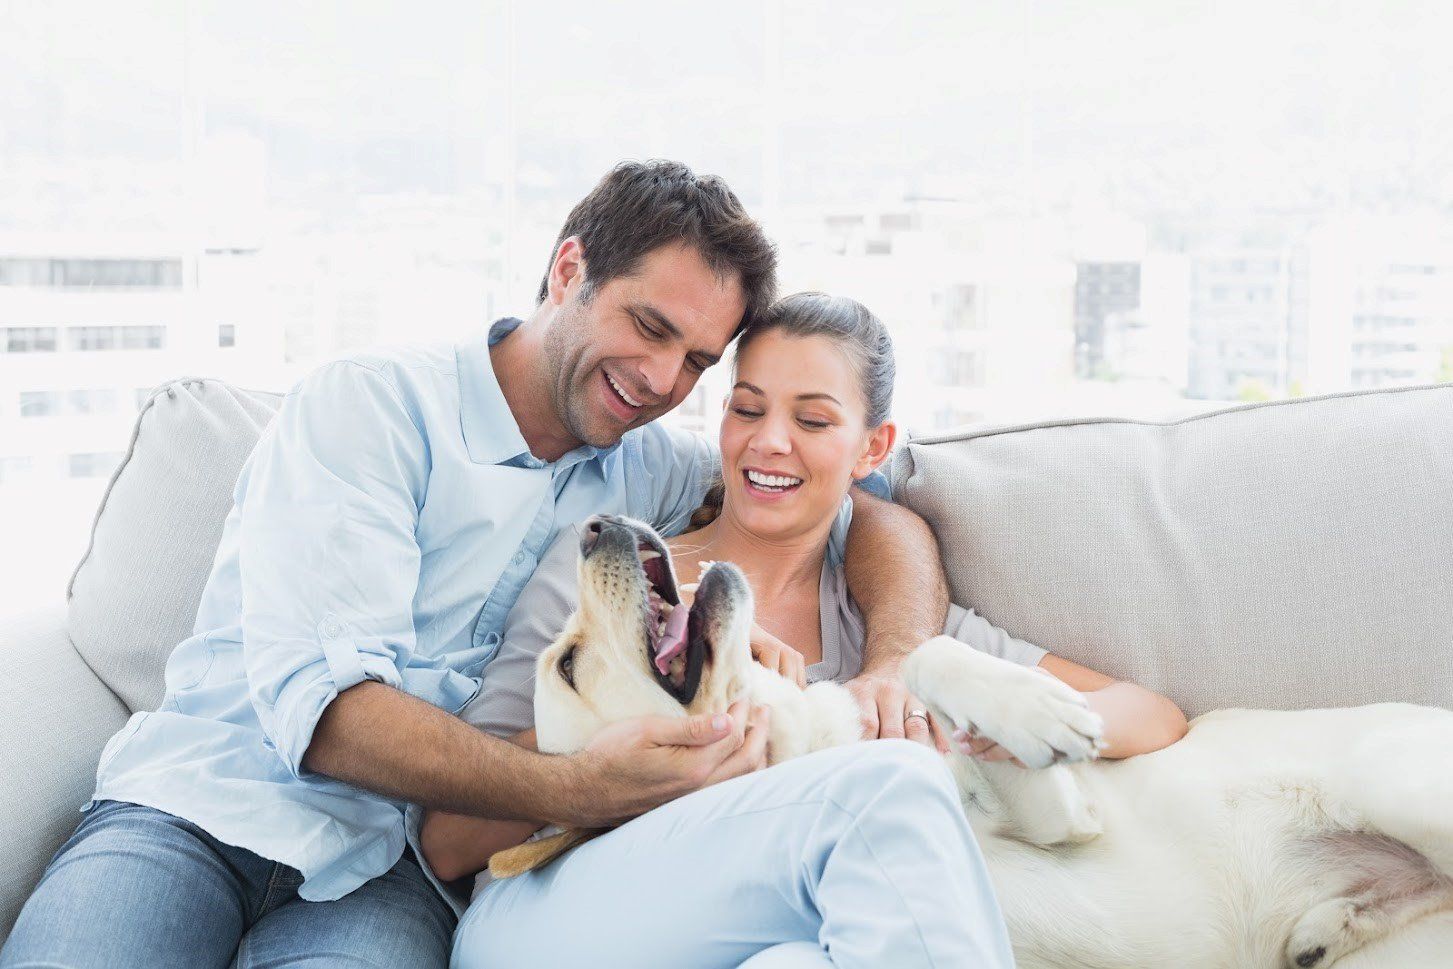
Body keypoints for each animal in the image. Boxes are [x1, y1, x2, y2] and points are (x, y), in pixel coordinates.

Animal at [508, 514, 1453, 969]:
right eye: (569, 663)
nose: (595, 523)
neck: (805, 749)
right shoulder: (1061, 821)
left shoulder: (1066, 812)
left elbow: (930, 655)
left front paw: (1030, 707)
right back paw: (1326, 929)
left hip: (1393, 785)